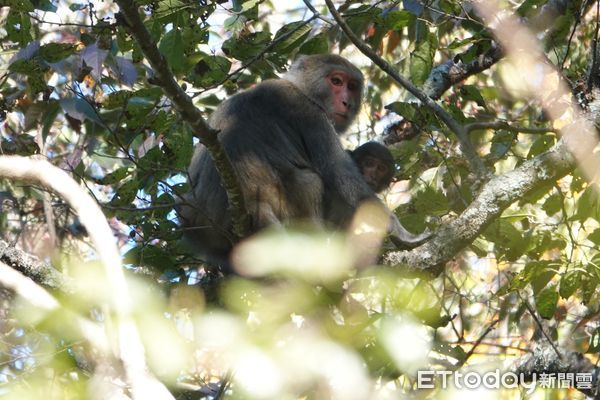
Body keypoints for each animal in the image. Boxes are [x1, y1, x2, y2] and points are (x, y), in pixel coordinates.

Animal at [178, 54, 426, 268]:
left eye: (352, 86)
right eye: (336, 81)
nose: (346, 102)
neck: (300, 88)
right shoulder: (311, 114)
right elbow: (341, 175)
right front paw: (401, 231)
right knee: (310, 181)